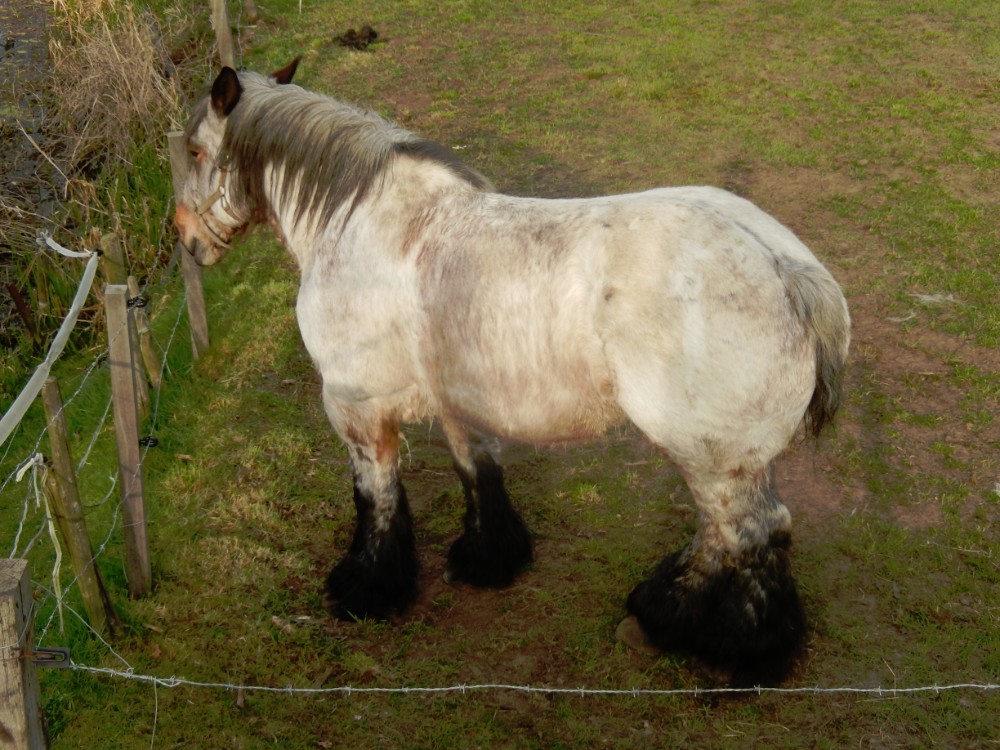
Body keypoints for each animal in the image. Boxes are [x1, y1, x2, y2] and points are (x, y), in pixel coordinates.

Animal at [174, 61, 852, 684]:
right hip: (734, 456)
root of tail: (785, 266)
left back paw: (720, 641)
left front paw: (364, 589)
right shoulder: (458, 400)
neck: (356, 223)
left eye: (195, 151)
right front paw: (488, 561)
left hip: (711, 455)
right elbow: (478, 473)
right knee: (736, 533)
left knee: (745, 533)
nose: (184, 239)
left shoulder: (354, 407)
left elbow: (377, 498)